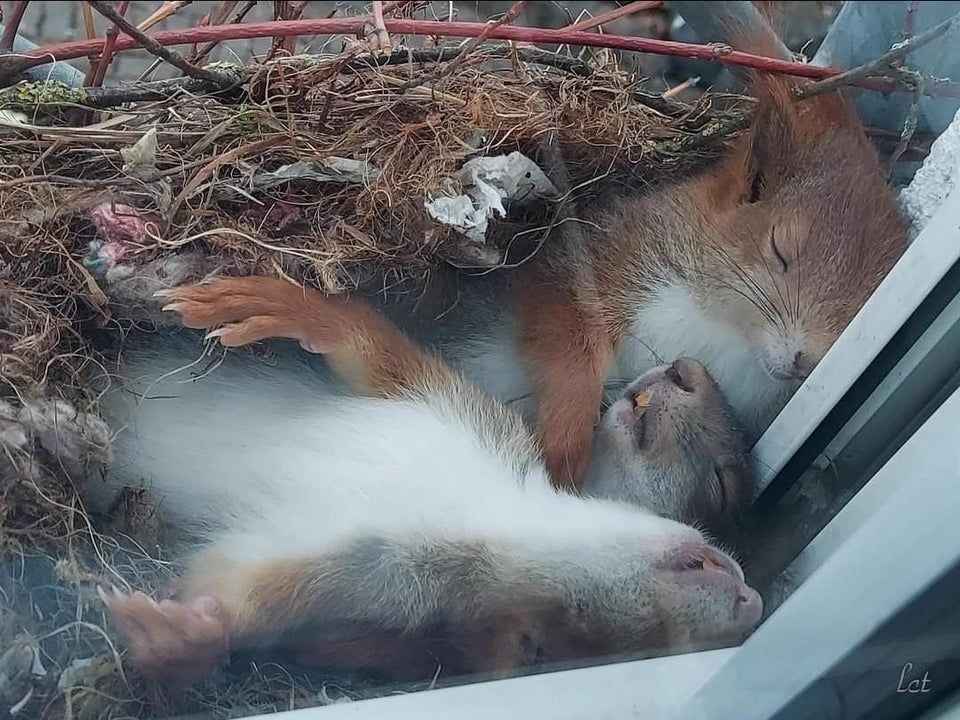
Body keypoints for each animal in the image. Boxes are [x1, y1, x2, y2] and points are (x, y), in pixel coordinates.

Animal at [97, 275, 762, 686]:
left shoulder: (362, 578)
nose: (751, 602)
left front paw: (182, 637)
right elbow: (369, 348)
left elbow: (236, 596)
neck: (490, 511)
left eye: (545, 645)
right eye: (722, 489)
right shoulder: (457, 409)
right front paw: (280, 304)